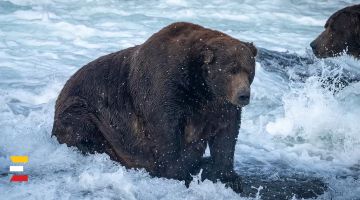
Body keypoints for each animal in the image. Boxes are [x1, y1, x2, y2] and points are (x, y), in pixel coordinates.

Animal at [52, 21, 258, 192]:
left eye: (249, 71)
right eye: (231, 70)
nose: (243, 95)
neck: (200, 87)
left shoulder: (219, 105)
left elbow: (227, 134)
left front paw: (229, 177)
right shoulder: (166, 86)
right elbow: (165, 130)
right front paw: (179, 172)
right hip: (86, 107)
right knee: (80, 124)